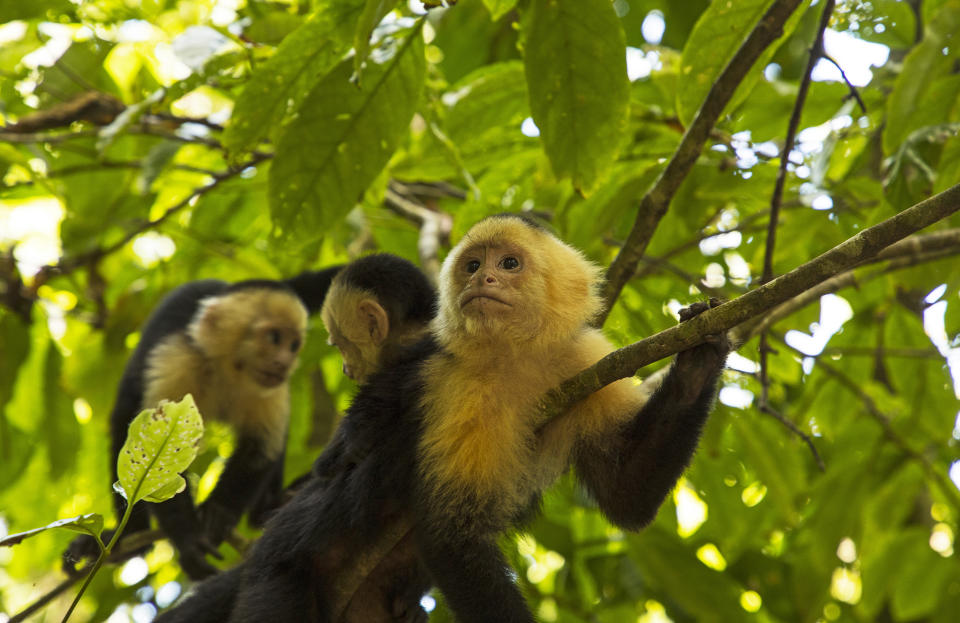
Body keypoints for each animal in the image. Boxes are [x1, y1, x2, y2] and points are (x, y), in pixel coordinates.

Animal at [161, 216, 728, 623]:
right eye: (473, 266)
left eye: (509, 263)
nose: (486, 279)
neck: (516, 358)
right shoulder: (456, 384)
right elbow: (453, 538)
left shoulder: (585, 361)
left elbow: (627, 495)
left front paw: (701, 354)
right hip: (280, 574)